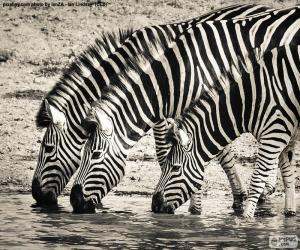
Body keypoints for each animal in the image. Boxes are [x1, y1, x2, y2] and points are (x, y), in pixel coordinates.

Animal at [152, 44, 300, 217]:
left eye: (176, 168)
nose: (154, 205)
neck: (249, 101)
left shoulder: (274, 135)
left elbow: (256, 181)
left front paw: (246, 218)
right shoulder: (284, 137)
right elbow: (288, 176)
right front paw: (289, 213)